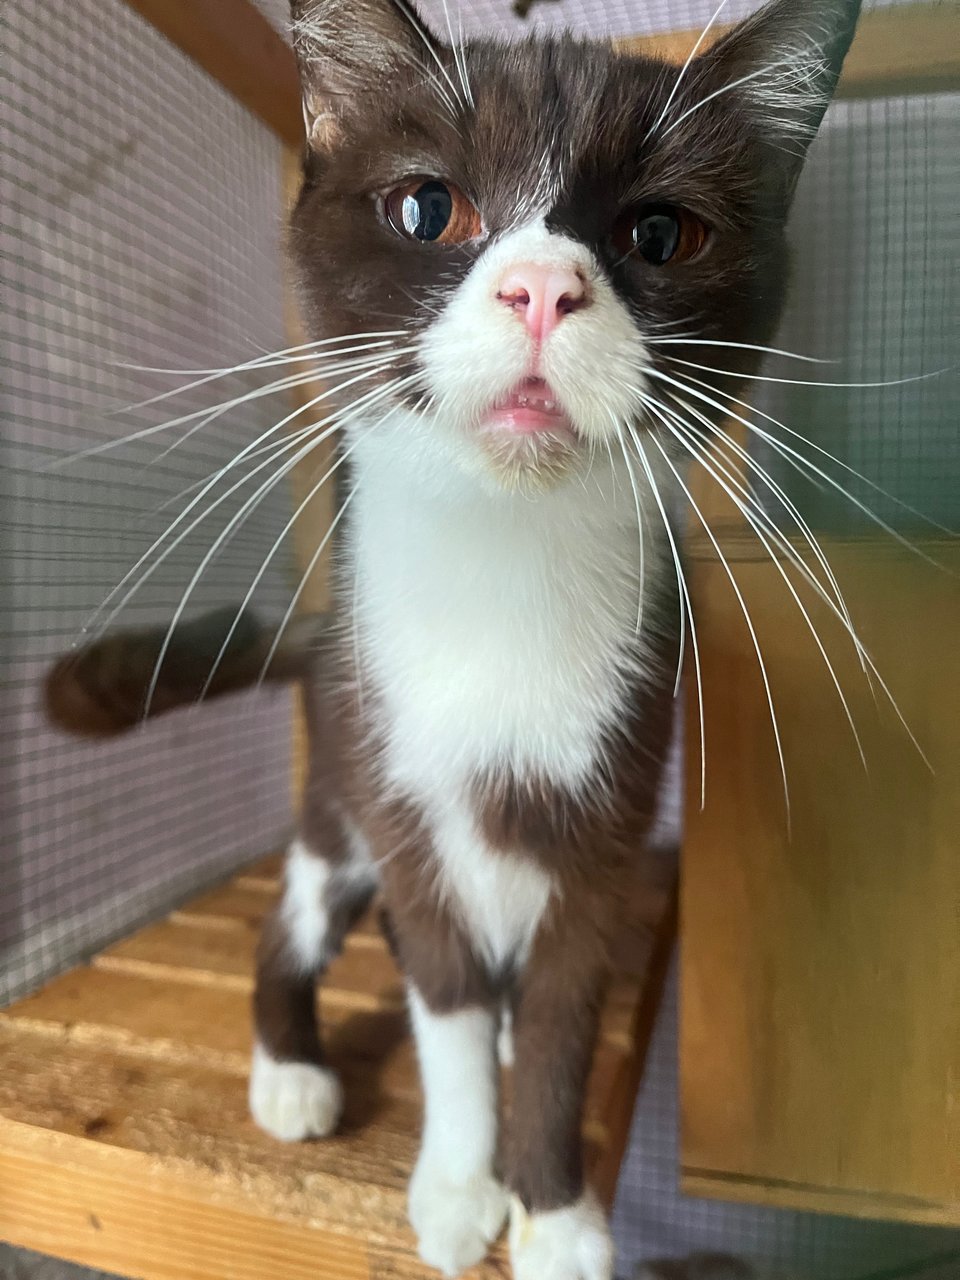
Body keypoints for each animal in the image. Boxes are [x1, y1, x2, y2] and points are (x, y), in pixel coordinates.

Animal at [47, 0, 865, 1274]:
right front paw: (457, 1181)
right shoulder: (400, 789)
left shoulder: (615, 797)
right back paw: (292, 1066)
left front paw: (557, 1208)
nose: (540, 288)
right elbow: (440, 986)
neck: (502, 569)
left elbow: (568, 1005)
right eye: (430, 209)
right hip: (340, 777)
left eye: (659, 232)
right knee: (299, 920)